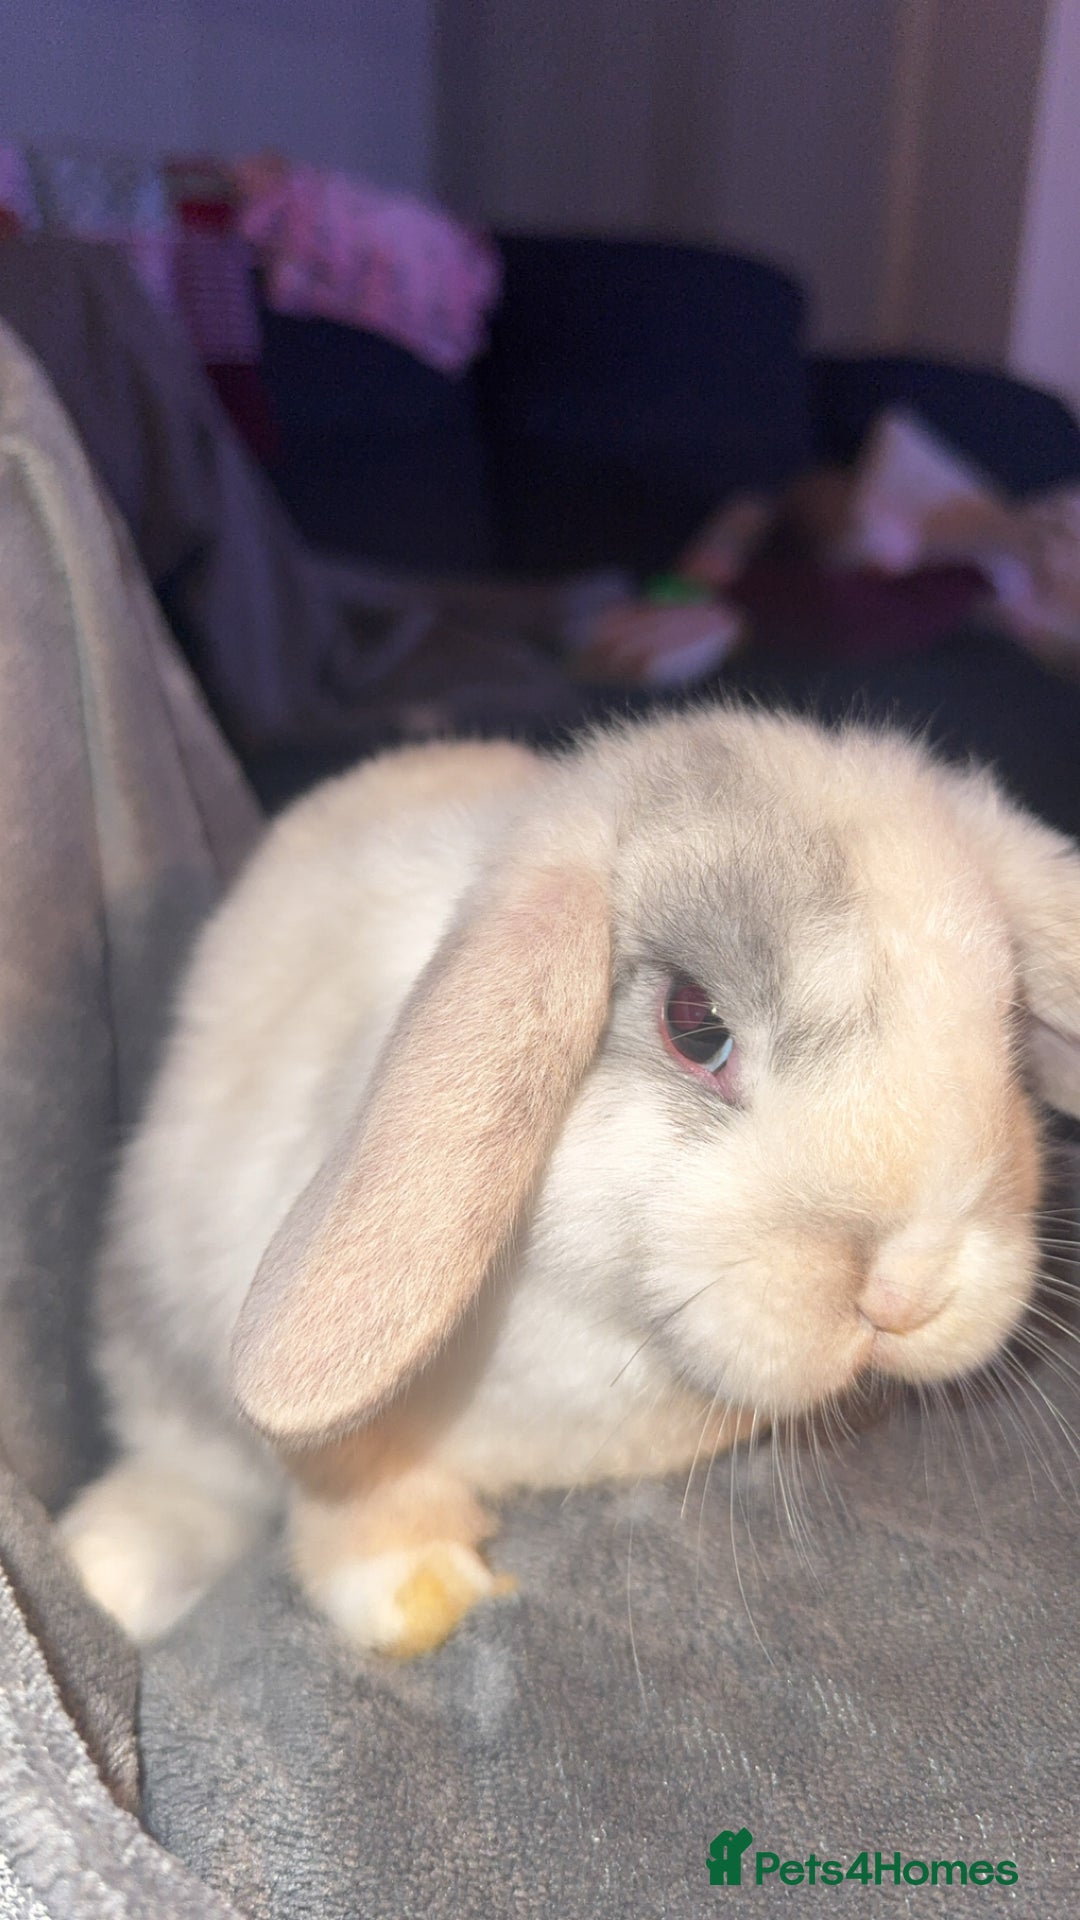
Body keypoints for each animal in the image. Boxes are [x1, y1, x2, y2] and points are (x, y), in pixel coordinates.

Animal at [59, 705, 1080, 1657]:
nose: (908, 1292)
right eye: (695, 1025)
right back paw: (106, 1566)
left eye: (1006, 1028)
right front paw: (423, 1592)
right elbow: (343, 1483)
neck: (609, 1332)